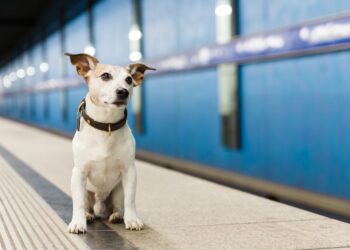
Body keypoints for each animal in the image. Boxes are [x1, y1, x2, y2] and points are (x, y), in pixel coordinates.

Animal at [64, 53, 154, 234]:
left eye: (129, 80)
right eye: (105, 76)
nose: (123, 92)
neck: (107, 125)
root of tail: (100, 208)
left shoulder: (129, 171)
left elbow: (130, 200)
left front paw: (132, 220)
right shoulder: (78, 173)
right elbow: (78, 203)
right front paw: (77, 222)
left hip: (118, 190)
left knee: (119, 204)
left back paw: (117, 215)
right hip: (86, 191)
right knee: (85, 205)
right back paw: (88, 216)